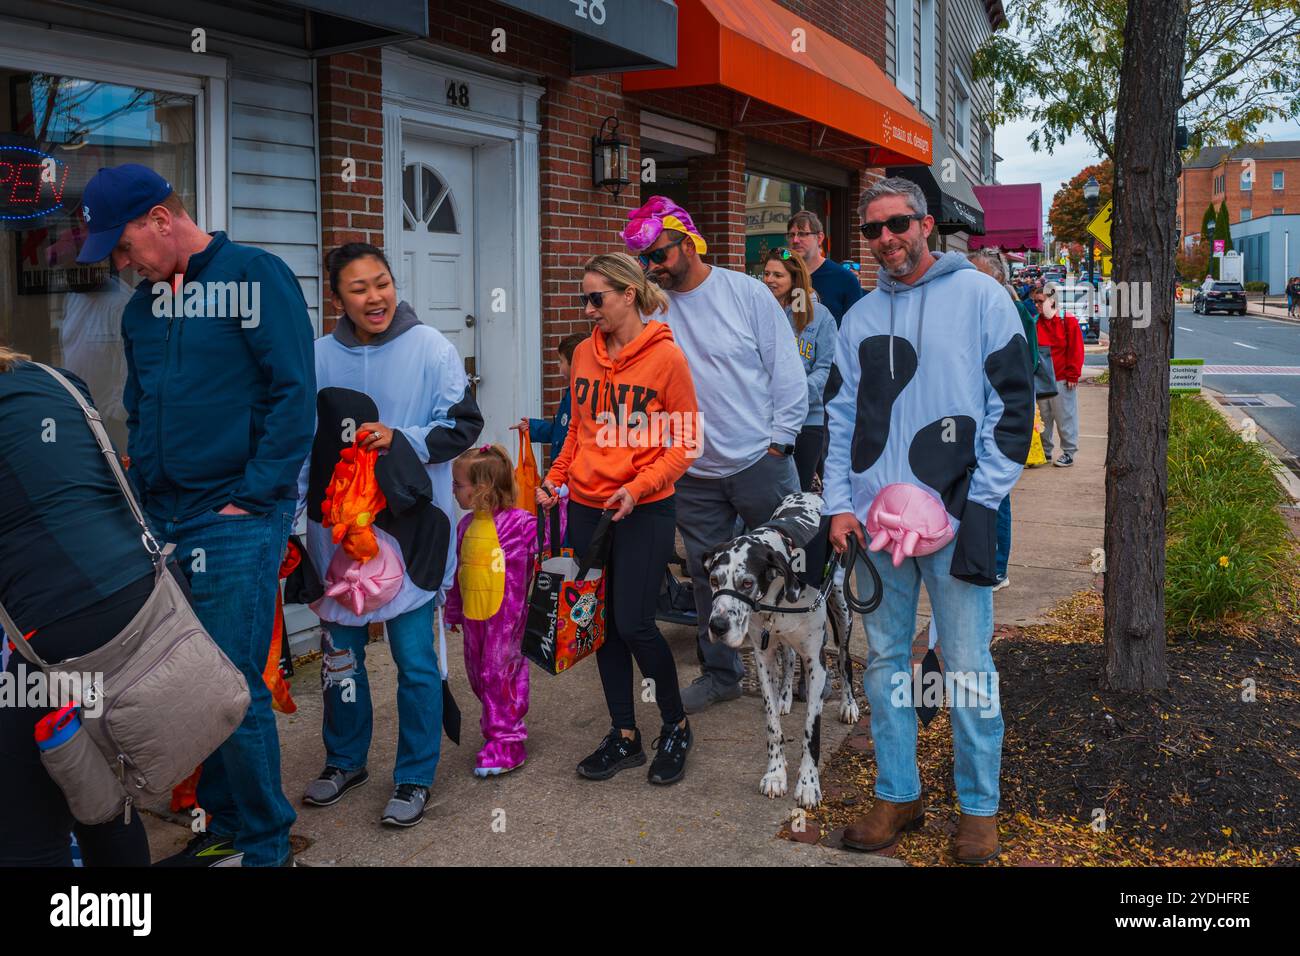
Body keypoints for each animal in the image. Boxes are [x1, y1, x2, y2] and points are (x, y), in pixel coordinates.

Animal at [702, 489, 863, 811]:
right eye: (714, 580)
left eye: (746, 582)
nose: (718, 626)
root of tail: (812, 491)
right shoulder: (762, 657)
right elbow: (772, 725)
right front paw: (775, 774)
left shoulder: (816, 662)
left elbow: (811, 732)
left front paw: (808, 784)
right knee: (788, 657)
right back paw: (785, 697)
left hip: (842, 608)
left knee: (844, 659)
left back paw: (848, 704)